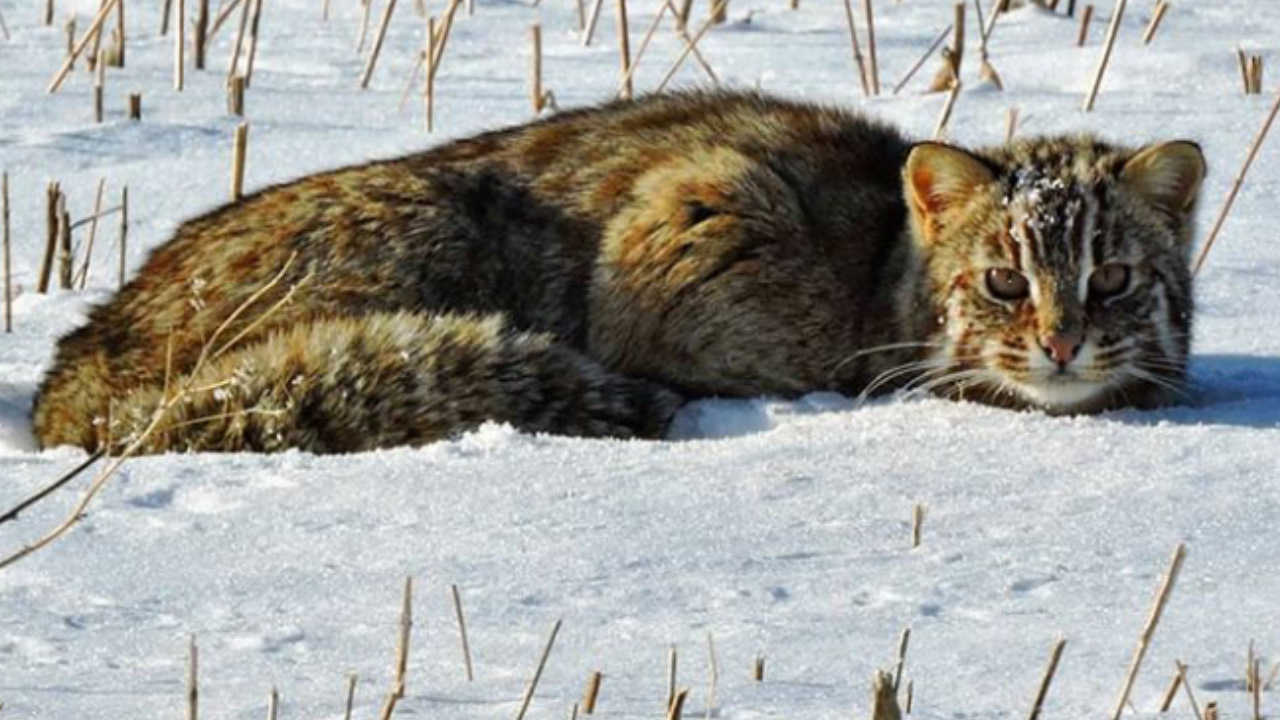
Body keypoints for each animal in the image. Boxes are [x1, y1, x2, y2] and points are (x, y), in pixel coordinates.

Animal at [32, 89, 1208, 450]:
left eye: (1110, 280)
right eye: (1005, 282)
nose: (1060, 344)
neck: (880, 264)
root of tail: (71, 369)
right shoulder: (687, 210)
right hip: (434, 226)